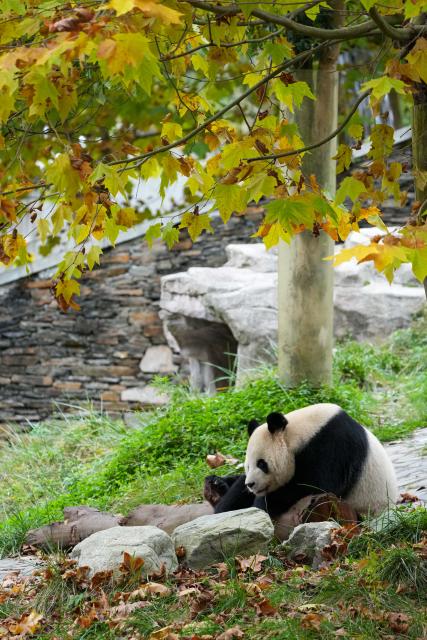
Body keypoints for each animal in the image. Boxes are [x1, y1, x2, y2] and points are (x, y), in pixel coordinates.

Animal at [214, 403, 398, 518]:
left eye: (261, 464)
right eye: (247, 466)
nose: (251, 484)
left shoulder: (332, 446)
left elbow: (314, 485)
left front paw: (261, 507)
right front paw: (219, 486)